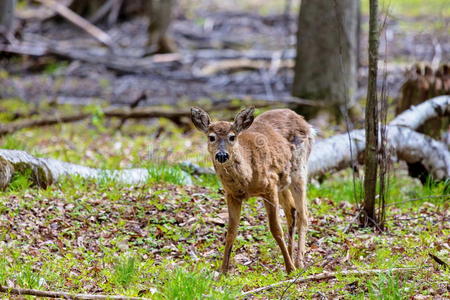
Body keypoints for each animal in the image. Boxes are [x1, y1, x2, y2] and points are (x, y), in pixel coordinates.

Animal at [192, 106, 314, 274]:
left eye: (232, 137)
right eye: (211, 137)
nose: (222, 155)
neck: (247, 179)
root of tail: (304, 121)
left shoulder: (269, 185)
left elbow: (276, 229)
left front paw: (289, 269)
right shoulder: (232, 194)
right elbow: (231, 232)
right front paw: (223, 271)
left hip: (299, 170)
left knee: (304, 214)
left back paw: (298, 263)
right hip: (283, 182)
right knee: (291, 210)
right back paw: (291, 257)